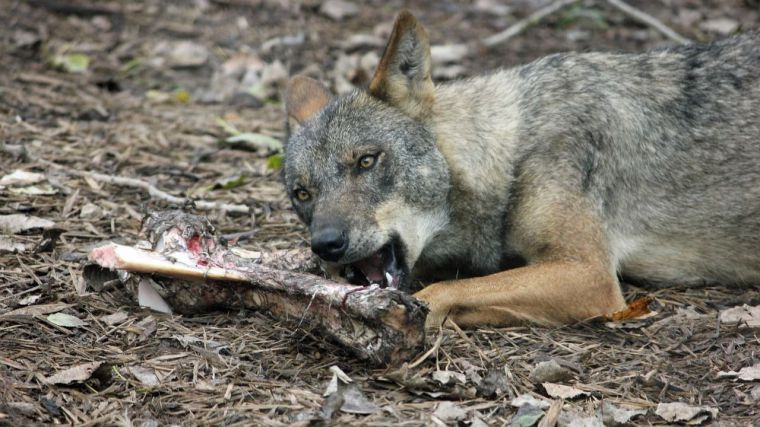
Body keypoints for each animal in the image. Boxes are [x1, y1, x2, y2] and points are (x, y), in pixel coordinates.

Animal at [282, 11, 760, 330]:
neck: (512, 152)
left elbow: (442, 292)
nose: (326, 244)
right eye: (302, 194)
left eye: (366, 161)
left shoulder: (588, 274)